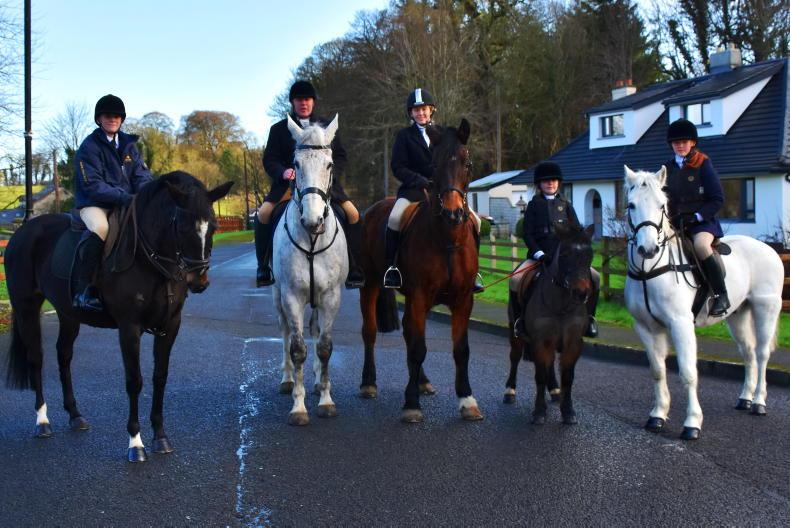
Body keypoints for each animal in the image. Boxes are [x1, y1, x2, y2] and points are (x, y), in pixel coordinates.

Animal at [4, 171, 233, 462]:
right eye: (182, 227)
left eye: (213, 226)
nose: (198, 281)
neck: (151, 261)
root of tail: (23, 230)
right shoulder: (129, 327)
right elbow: (134, 380)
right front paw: (136, 443)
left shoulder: (170, 325)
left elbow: (160, 377)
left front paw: (160, 437)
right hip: (26, 308)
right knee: (36, 358)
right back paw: (42, 421)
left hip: (69, 314)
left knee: (64, 357)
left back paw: (75, 415)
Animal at [359, 119, 484, 423]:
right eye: (434, 165)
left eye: (467, 163)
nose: (453, 213)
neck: (447, 239)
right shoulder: (418, 295)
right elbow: (418, 348)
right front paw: (411, 404)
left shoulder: (463, 299)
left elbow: (460, 350)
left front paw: (467, 400)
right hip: (370, 285)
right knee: (370, 331)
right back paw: (369, 383)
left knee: (408, 333)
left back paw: (423, 382)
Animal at [504, 224, 595, 424]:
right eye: (565, 254)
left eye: (590, 255)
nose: (581, 293)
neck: (561, 304)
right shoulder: (540, 341)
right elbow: (540, 376)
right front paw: (539, 412)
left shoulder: (573, 343)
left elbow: (568, 377)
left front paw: (568, 411)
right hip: (515, 333)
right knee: (514, 357)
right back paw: (509, 391)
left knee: (551, 363)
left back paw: (554, 390)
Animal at [623, 165, 784, 440]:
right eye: (631, 205)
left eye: (661, 204)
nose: (648, 249)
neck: (650, 270)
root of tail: (770, 249)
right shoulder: (646, 327)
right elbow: (657, 371)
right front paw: (657, 415)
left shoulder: (680, 324)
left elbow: (688, 373)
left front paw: (692, 424)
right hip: (738, 316)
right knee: (748, 352)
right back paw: (745, 398)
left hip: (766, 309)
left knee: (762, 354)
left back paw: (759, 402)